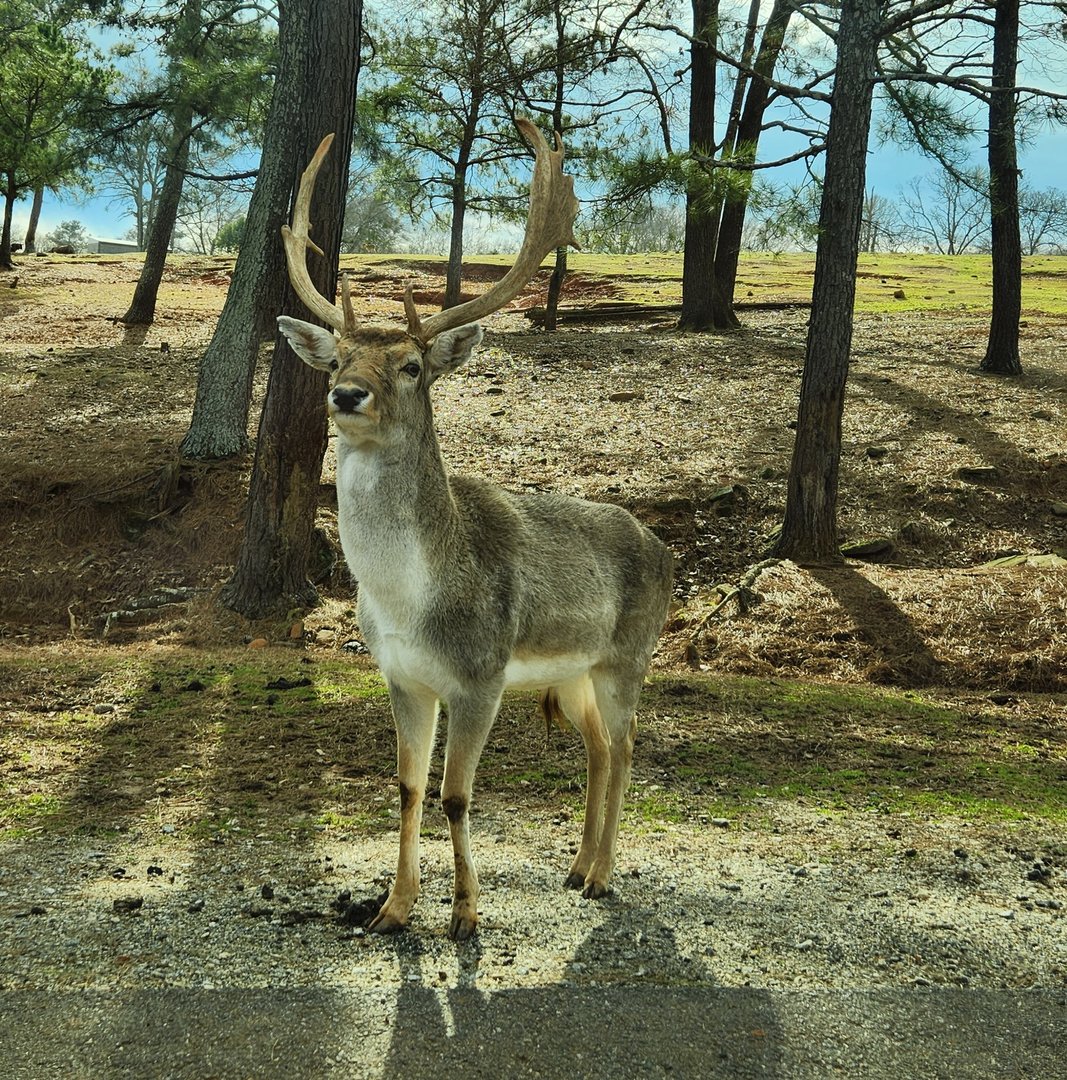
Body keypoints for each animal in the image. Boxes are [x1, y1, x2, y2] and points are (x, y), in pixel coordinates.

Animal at [276, 119, 673, 941]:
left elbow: (456, 796)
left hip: (629, 655)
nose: (345, 393)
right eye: (338, 356)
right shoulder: (401, 675)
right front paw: (392, 909)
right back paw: (576, 868)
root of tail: (668, 550)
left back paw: (603, 876)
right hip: (573, 672)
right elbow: (406, 789)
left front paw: (465, 915)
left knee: (625, 748)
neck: (410, 602)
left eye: (410, 365)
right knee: (596, 748)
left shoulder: (480, 675)